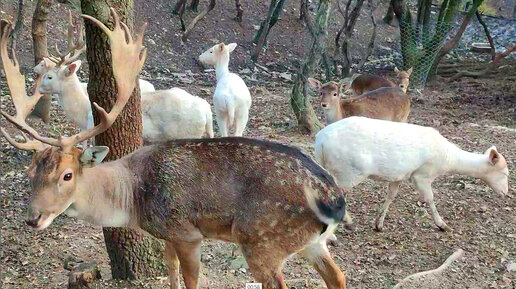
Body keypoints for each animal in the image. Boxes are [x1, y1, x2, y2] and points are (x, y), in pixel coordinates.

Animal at [0, 9, 350, 288]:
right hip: (313, 242)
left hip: (261, 238)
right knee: (338, 276)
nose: (33, 217)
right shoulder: (166, 235)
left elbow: (191, 279)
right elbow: (170, 270)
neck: (133, 199)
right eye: (30, 173)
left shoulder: (186, 232)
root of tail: (333, 198)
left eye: (67, 175)